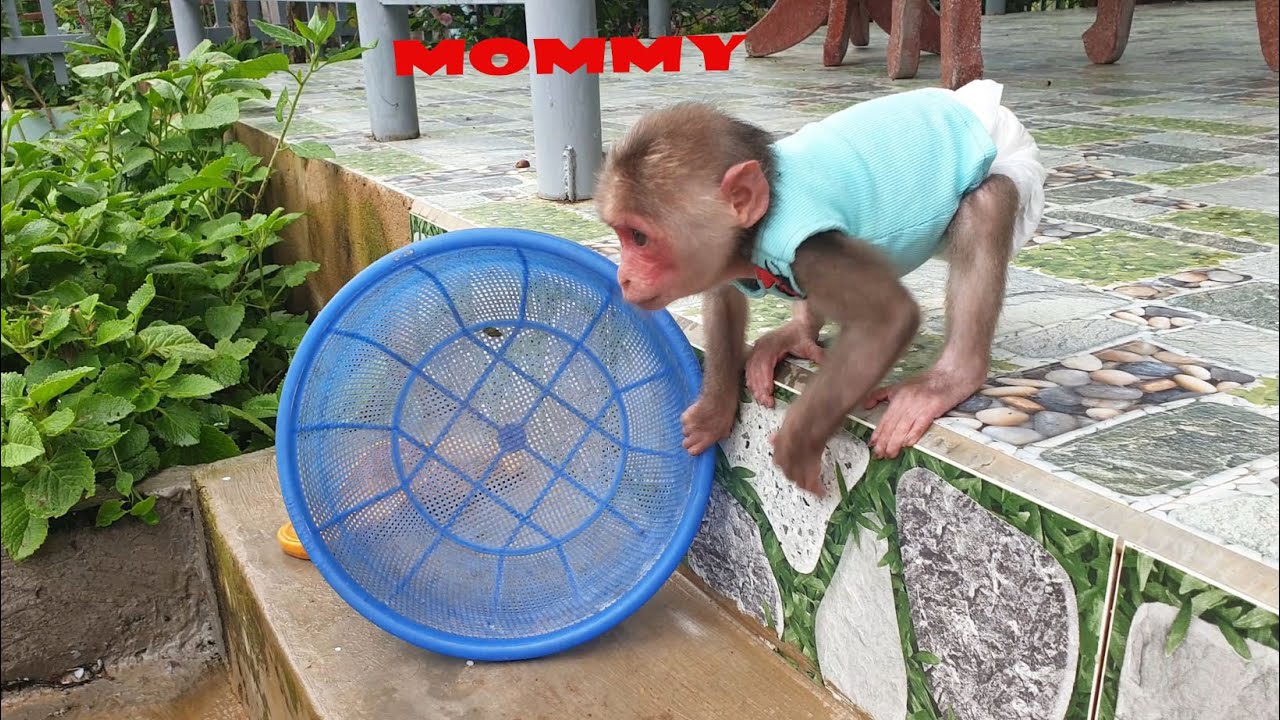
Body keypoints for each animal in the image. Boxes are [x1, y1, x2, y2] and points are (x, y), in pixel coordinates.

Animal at [594, 80, 1047, 495]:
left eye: (639, 239)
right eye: (619, 235)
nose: (623, 277)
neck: (760, 224)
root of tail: (968, 101)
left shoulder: (808, 251)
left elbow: (888, 317)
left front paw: (797, 446)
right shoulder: (726, 262)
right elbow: (724, 298)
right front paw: (715, 407)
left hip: (1012, 161)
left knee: (985, 205)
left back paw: (951, 378)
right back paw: (798, 333)